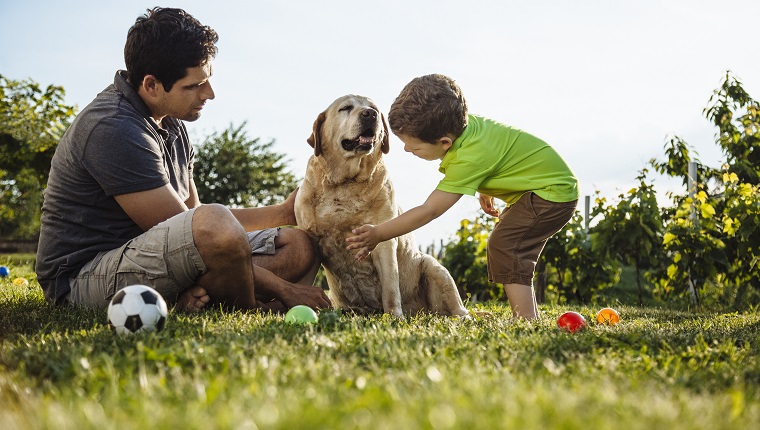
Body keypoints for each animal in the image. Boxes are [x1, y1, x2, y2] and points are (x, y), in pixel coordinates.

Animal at [296, 95, 470, 318]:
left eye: (374, 109)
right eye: (345, 108)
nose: (369, 114)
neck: (345, 184)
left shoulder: (384, 244)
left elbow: (390, 286)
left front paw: (394, 316)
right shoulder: (312, 239)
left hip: (433, 267)